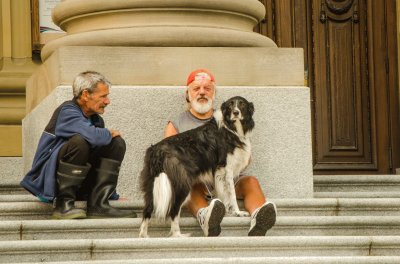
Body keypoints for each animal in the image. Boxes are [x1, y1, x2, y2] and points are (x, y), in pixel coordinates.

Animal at [139, 95, 255, 237]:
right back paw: (178, 235)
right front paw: (237, 212)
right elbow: (231, 194)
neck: (231, 127)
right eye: (230, 105)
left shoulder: (220, 173)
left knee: (147, 209)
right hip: (181, 183)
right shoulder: (226, 168)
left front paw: (227, 211)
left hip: (152, 184)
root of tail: (157, 150)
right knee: (173, 210)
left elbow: (223, 194)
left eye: (242, 104)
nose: (236, 112)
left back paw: (144, 236)